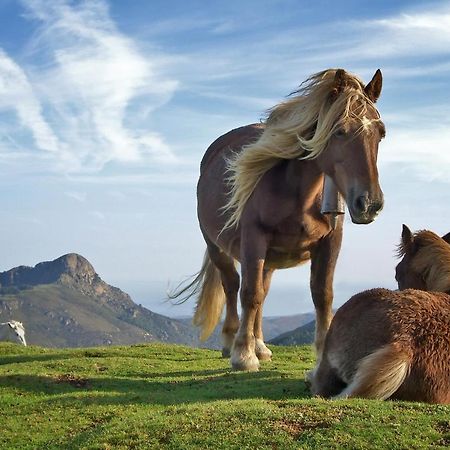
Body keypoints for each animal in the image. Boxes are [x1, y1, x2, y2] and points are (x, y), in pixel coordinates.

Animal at [171, 67, 384, 370]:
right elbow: (249, 293)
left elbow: (322, 295)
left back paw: (260, 345)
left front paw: (321, 356)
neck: (298, 192)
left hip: (270, 258)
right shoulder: (253, 239)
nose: (369, 204)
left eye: (381, 133)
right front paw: (243, 355)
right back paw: (231, 341)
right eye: (340, 131)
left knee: (263, 291)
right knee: (232, 285)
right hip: (218, 247)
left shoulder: (331, 242)